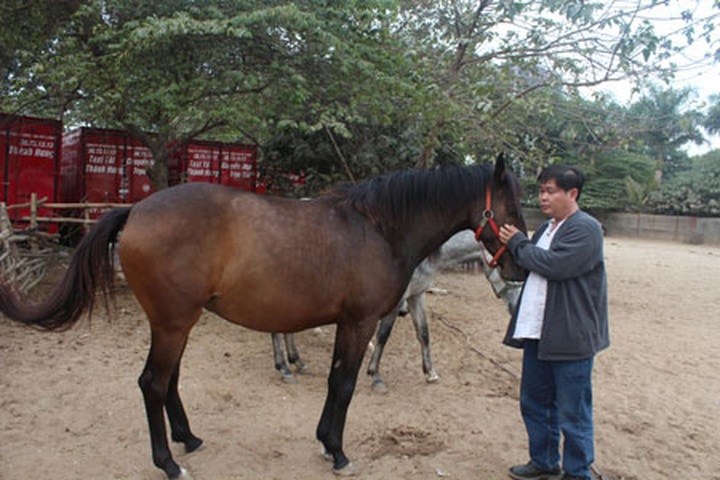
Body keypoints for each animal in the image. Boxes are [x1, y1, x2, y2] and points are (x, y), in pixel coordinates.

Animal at [0, 155, 526, 479]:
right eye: (511, 203)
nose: (520, 265)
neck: (379, 228)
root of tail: (136, 210)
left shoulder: (348, 324)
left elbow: (337, 380)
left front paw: (325, 441)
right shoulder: (358, 323)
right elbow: (345, 384)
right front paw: (338, 452)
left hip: (176, 323)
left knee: (169, 382)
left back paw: (189, 439)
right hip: (172, 324)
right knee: (152, 383)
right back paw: (169, 462)